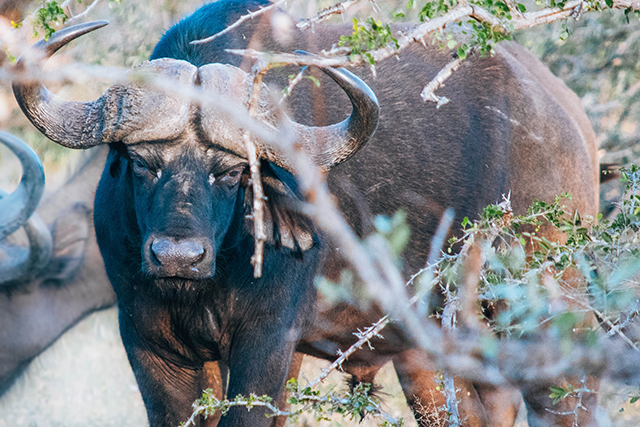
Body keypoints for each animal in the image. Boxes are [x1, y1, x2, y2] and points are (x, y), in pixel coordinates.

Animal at [12, 1, 596, 426]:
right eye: (141, 163)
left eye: (233, 172)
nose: (178, 255)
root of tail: (568, 119)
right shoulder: (151, 347)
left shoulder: (268, 341)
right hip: (432, 351)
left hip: (547, 308)